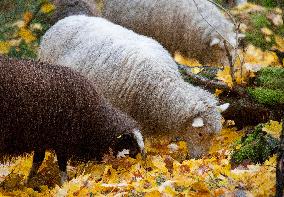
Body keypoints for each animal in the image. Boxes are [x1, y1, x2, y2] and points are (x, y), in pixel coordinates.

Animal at [0, 55, 144, 185]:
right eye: (132, 150)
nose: (137, 172)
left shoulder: (42, 139)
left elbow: (37, 161)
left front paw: (27, 184)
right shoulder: (63, 139)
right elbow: (62, 167)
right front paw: (65, 187)